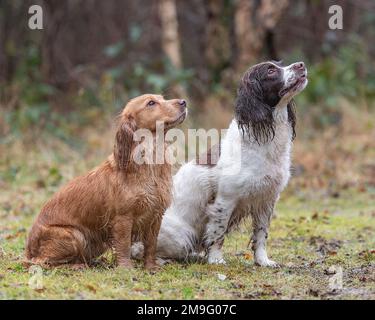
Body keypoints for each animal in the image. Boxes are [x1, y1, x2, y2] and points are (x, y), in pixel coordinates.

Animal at [25, 94, 187, 268]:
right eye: (151, 103)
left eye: (161, 98)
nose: (183, 102)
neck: (149, 162)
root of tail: (29, 249)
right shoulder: (123, 218)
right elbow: (124, 245)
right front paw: (125, 268)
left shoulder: (156, 215)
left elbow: (151, 246)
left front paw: (151, 267)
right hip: (75, 235)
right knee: (40, 262)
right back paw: (77, 266)